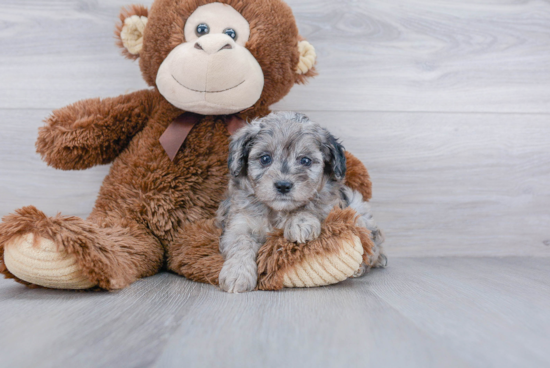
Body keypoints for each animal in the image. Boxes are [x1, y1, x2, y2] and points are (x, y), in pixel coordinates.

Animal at [218, 110, 386, 292]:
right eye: (265, 158)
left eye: (305, 160)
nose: (283, 185)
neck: (278, 211)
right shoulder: (239, 224)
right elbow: (241, 243)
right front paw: (237, 273)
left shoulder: (330, 207)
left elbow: (311, 205)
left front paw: (300, 222)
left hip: (357, 205)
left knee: (371, 240)